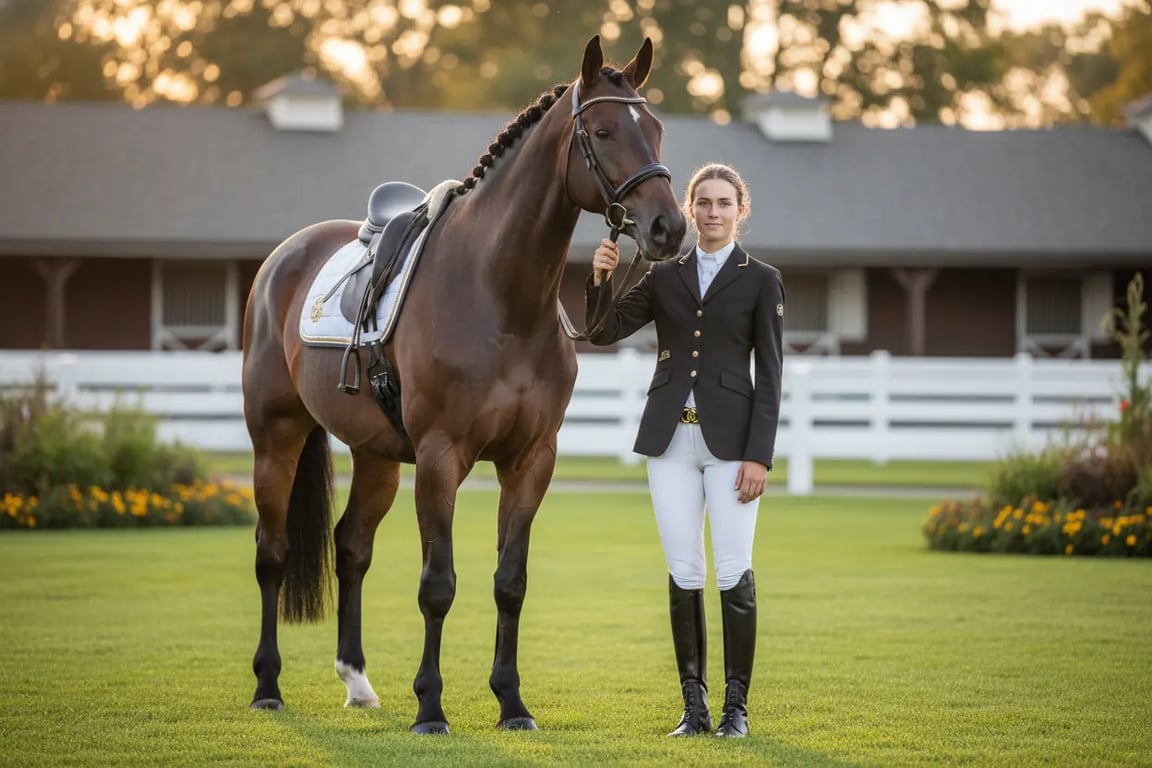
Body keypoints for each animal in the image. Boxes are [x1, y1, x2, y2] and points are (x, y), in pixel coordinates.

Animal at [241, 35, 687, 733]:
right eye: (604, 131)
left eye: (659, 130)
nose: (670, 227)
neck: (499, 297)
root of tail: (283, 259)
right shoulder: (440, 458)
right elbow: (438, 585)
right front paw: (430, 707)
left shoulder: (530, 461)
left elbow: (510, 582)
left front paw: (511, 702)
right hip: (276, 438)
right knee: (273, 552)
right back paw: (267, 686)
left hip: (376, 456)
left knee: (351, 547)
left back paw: (357, 681)